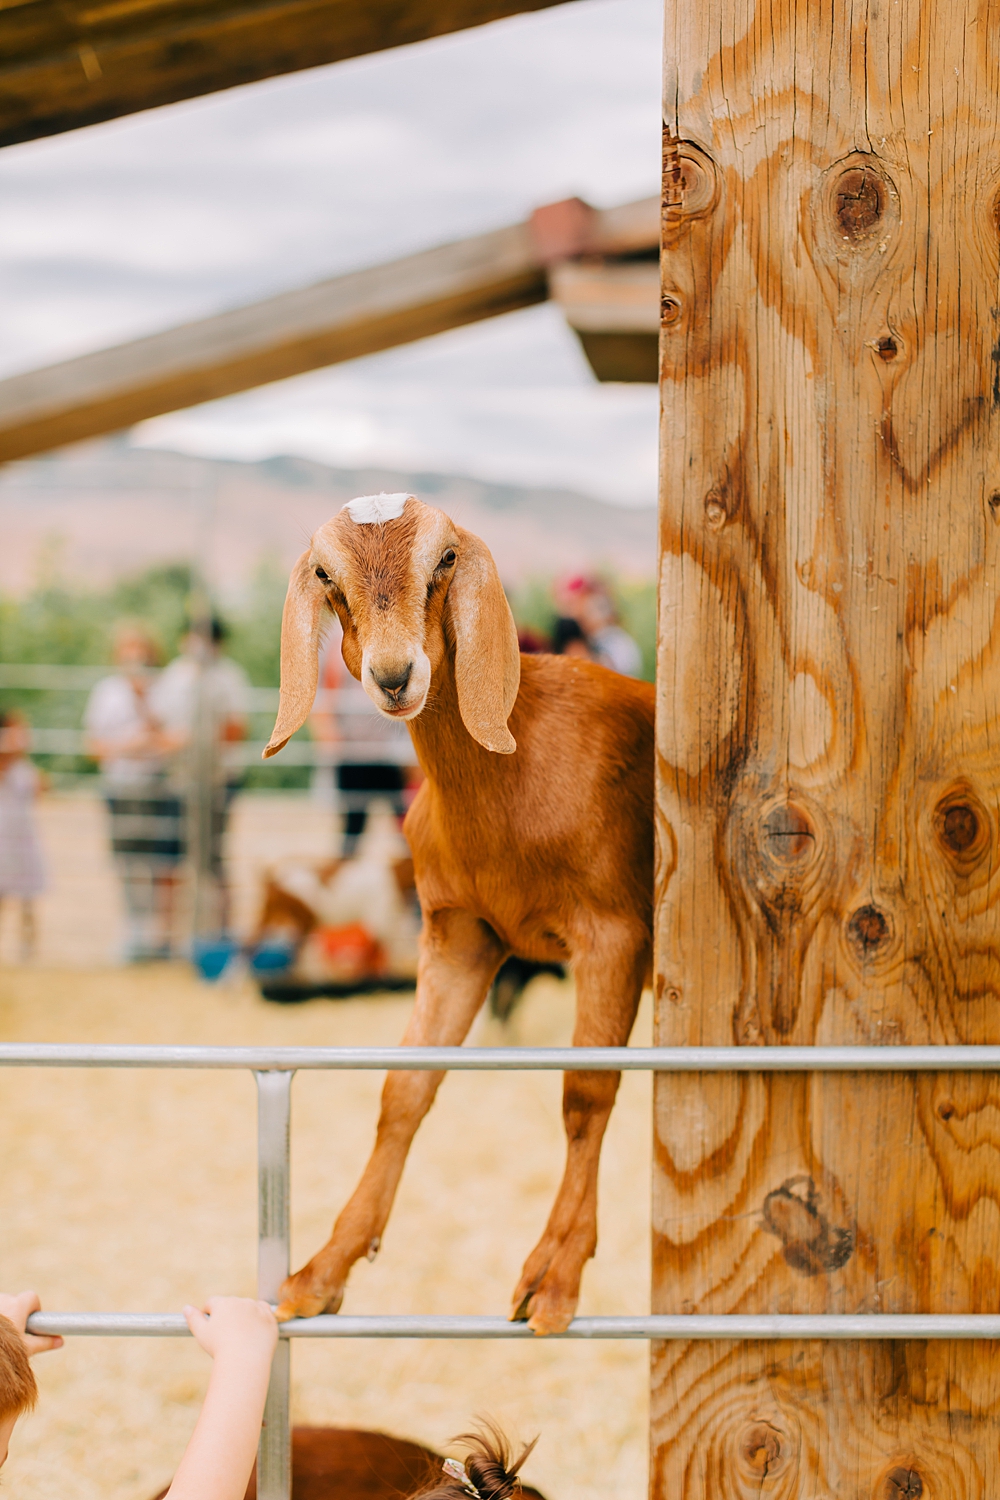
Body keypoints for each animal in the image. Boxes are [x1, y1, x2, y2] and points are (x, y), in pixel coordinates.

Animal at [265, 495, 656, 1338]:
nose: (392, 674)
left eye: (444, 559)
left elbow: (586, 1093)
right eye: (327, 574)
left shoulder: (613, 935)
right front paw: (323, 1270)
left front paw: (555, 1276)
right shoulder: (460, 936)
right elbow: (404, 1089)